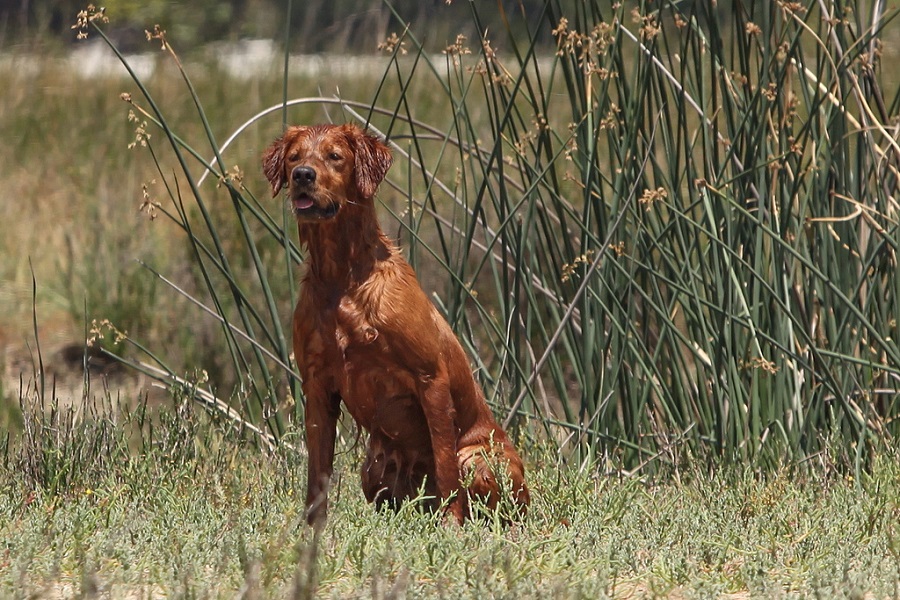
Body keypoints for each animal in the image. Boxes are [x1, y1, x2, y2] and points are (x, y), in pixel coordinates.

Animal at [262, 123, 528, 524]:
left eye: (334, 156)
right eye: (294, 157)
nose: (302, 176)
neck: (343, 278)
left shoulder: (431, 378)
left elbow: (445, 466)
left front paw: (451, 525)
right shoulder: (317, 385)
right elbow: (317, 471)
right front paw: (311, 529)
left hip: (476, 456)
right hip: (373, 465)